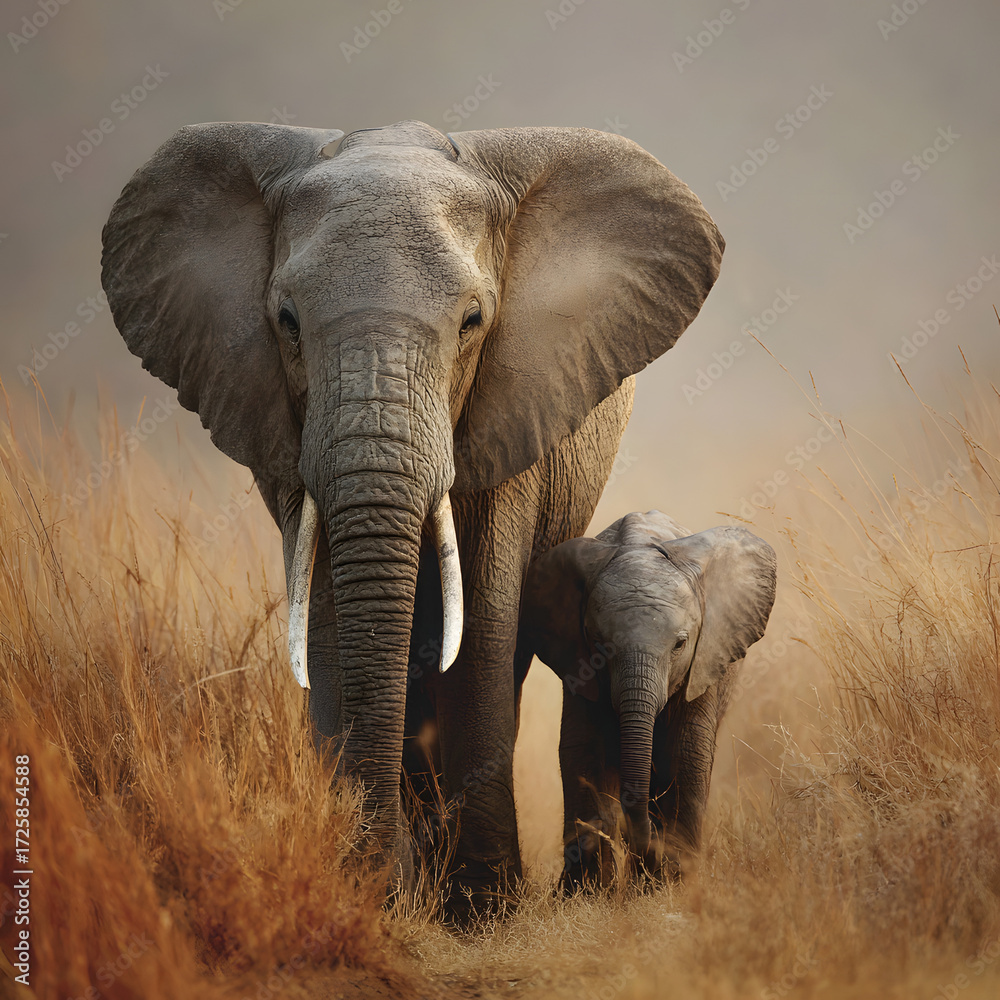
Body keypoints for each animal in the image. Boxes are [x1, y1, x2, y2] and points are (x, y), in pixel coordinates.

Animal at [100, 119, 724, 917]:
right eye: (286, 322)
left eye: (473, 322)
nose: (380, 878)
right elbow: (327, 619)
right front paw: (376, 890)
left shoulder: (511, 412)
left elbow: (483, 627)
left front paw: (483, 908)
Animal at [519, 511, 776, 889]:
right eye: (598, 644)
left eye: (680, 644)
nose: (648, 842)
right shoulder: (578, 664)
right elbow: (583, 751)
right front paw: (587, 891)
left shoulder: (705, 659)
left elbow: (688, 751)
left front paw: (673, 883)